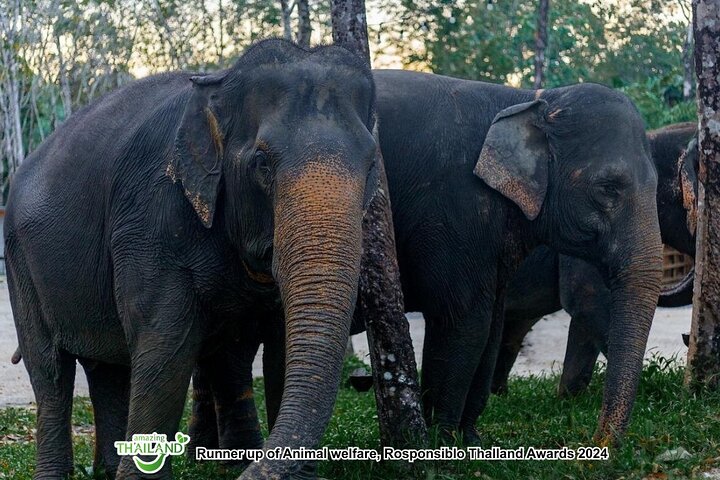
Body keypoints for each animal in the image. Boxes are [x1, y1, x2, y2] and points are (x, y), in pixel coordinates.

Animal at [5, 39, 381, 480]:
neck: (221, 83)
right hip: (19, 262)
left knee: (110, 368)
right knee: (50, 369)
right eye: (262, 164)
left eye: (372, 165)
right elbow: (166, 346)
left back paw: (109, 470)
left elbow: (282, 349)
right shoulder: (149, 218)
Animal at [191, 69, 664, 449]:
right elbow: (463, 323)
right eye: (608, 188)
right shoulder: (456, 211)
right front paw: (443, 444)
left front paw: (473, 441)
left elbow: (491, 325)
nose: (597, 443)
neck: (527, 97)